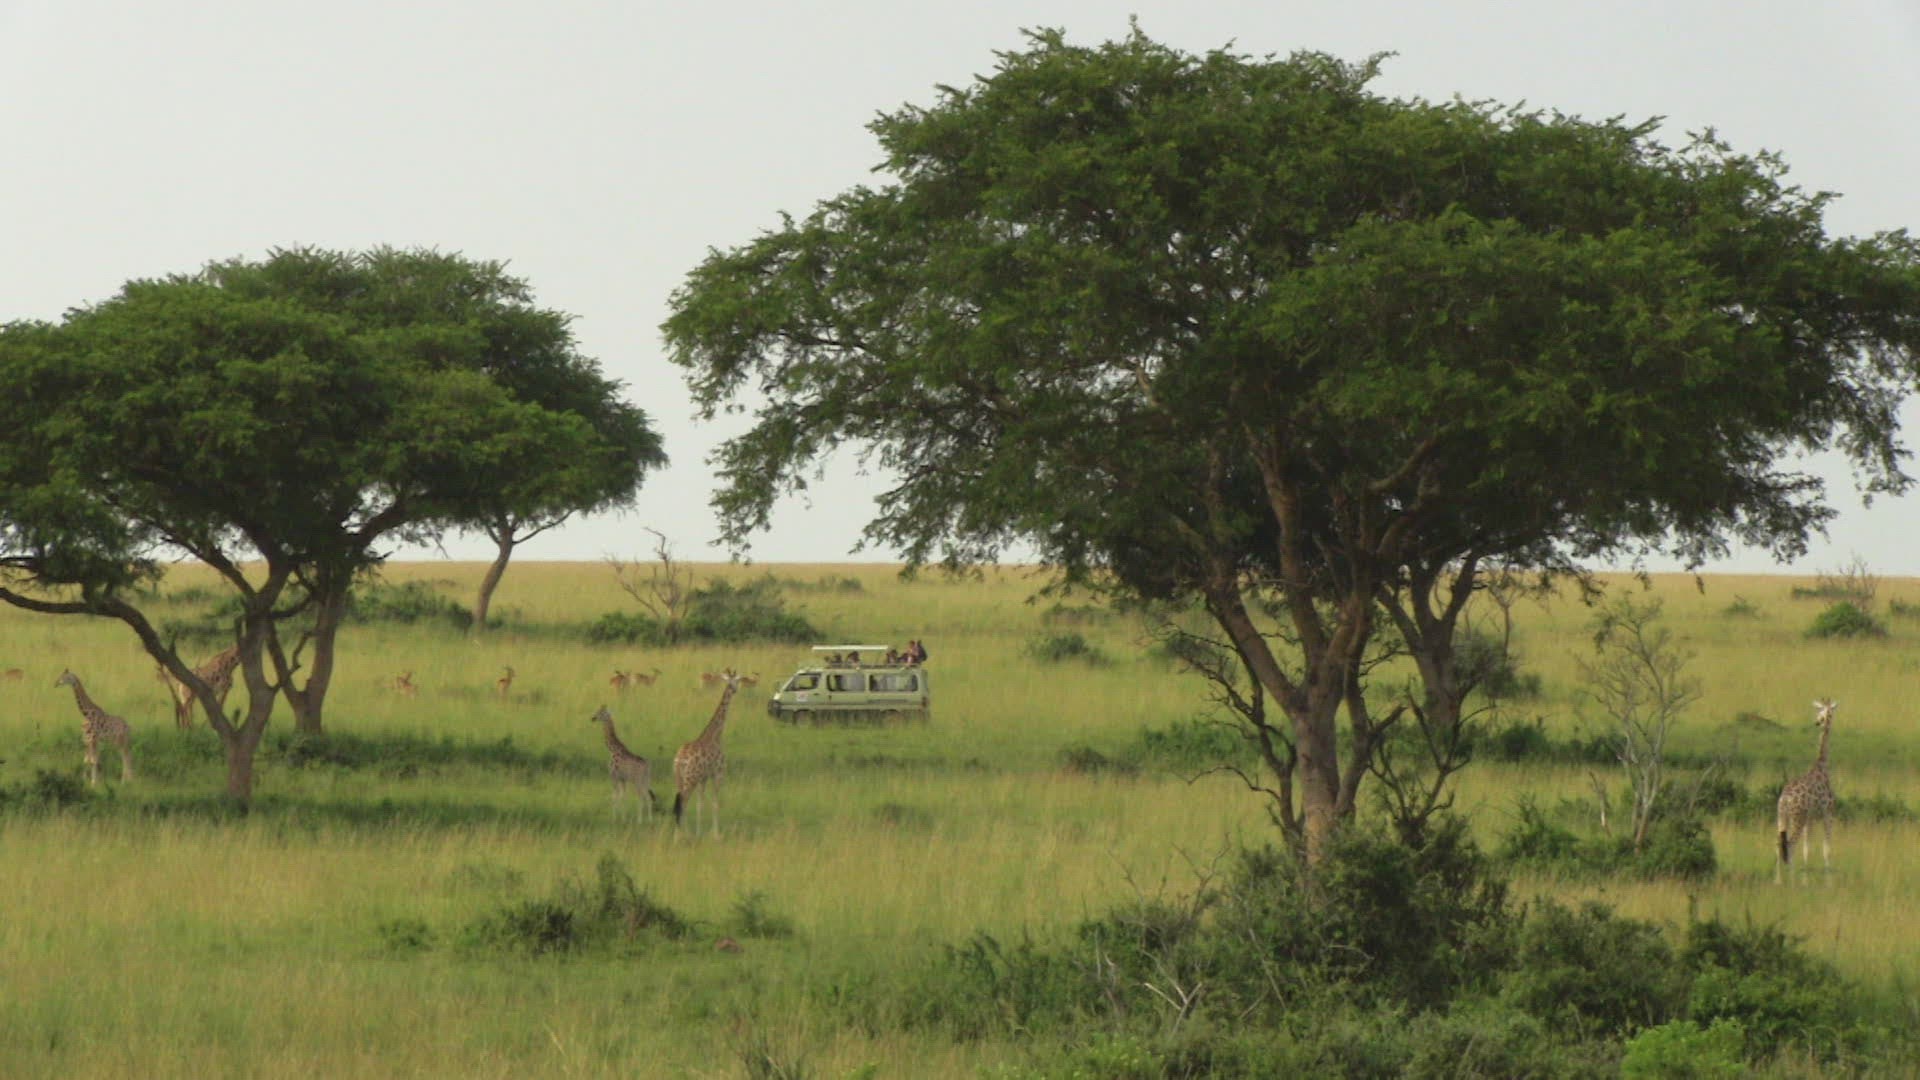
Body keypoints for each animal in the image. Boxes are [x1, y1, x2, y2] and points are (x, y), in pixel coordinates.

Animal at [674, 668, 742, 833]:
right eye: (737, 680)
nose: (736, 690)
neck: (716, 734)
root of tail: (681, 760)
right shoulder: (718, 774)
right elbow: (716, 804)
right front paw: (716, 834)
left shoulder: (703, 778)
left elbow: (700, 804)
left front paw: (699, 831)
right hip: (690, 779)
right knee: (683, 802)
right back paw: (681, 834)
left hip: (679, 778)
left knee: (680, 802)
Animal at [1777, 698, 1839, 884]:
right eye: (1820, 712)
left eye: (1827, 713)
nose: (1819, 722)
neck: (1822, 766)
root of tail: (1785, 799)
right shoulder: (1828, 814)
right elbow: (1826, 849)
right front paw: (1829, 882)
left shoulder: (1810, 819)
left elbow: (1807, 849)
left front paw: (1805, 880)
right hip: (1797, 818)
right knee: (1790, 845)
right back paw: (1790, 881)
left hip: (1783, 817)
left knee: (1779, 844)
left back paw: (1778, 881)